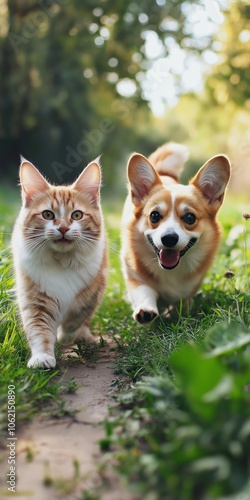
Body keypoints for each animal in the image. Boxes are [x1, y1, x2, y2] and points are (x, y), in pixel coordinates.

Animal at [11, 158, 107, 370]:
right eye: (47, 215)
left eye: (77, 215)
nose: (63, 228)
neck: (62, 261)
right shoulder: (35, 300)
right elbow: (40, 332)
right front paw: (42, 357)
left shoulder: (92, 292)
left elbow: (75, 318)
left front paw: (65, 336)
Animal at [121, 143, 230, 326]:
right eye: (154, 216)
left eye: (190, 217)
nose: (169, 239)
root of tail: (164, 173)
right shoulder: (134, 275)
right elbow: (143, 291)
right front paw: (145, 310)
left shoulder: (190, 286)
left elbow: (182, 301)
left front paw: (180, 316)